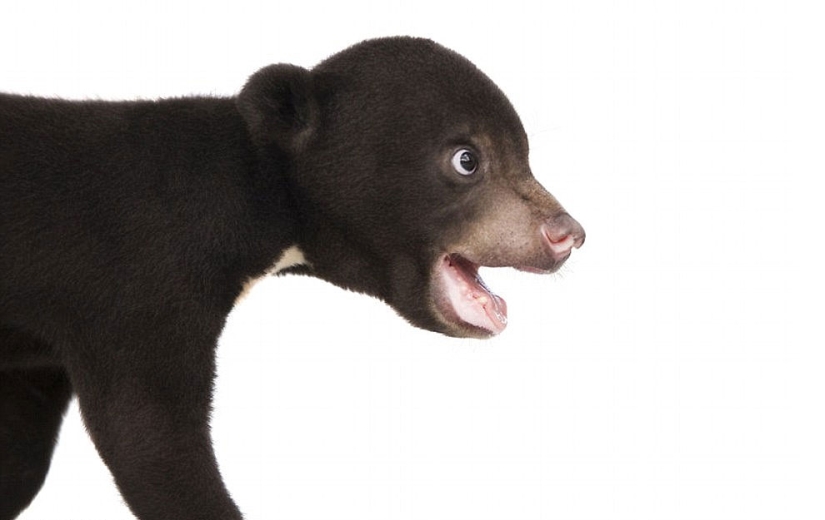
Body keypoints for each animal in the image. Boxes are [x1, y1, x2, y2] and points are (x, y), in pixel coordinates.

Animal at [0, 37, 584, 520]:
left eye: (525, 154)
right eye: (467, 159)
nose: (567, 233)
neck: (258, 194)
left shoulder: (36, 357)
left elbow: (23, 454)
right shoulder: (139, 288)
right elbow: (148, 434)